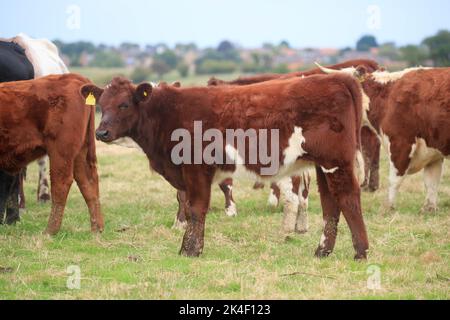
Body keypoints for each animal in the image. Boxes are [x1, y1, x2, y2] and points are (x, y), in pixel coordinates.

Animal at [0, 75, 103, 235]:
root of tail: (74, 77)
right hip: (81, 151)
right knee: (88, 181)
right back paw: (96, 229)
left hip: (61, 150)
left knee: (61, 183)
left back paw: (50, 231)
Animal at [84, 74, 370, 258]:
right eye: (101, 106)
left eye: (124, 104)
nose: (101, 133)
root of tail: (337, 78)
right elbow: (189, 207)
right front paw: (189, 247)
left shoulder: (196, 167)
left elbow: (196, 209)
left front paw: (190, 250)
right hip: (323, 165)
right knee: (331, 205)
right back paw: (322, 251)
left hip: (336, 162)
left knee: (348, 198)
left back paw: (361, 252)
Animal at [316, 63, 450, 211]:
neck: (388, 96)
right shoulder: (433, 151)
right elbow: (431, 181)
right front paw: (429, 208)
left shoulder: (400, 143)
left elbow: (394, 179)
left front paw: (387, 207)